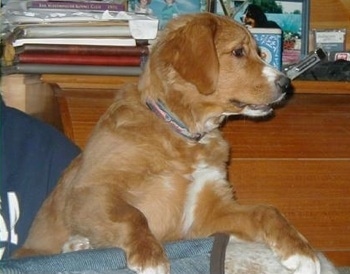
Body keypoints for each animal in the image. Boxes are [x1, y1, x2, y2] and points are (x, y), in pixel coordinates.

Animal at [15, 11, 324, 272]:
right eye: (239, 52)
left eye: (260, 52)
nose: (286, 84)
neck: (183, 134)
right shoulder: (88, 191)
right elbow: (132, 214)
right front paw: (151, 257)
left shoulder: (206, 215)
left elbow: (266, 210)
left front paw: (301, 252)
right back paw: (76, 244)